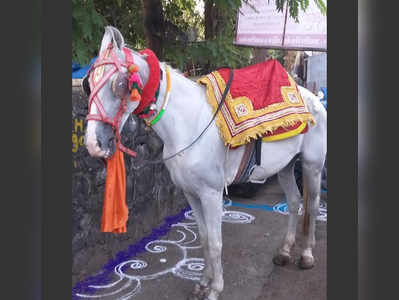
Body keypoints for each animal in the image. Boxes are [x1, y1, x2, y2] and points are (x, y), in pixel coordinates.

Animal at [86, 26, 326, 300]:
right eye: (88, 84)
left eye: (119, 84)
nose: (94, 143)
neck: (188, 123)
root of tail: (313, 97)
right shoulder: (191, 193)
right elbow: (202, 238)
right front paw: (202, 282)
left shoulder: (211, 193)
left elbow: (215, 241)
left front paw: (215, 289)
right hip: (285, 167)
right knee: (295, 202)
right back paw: (285, 251)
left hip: (312, 166)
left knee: (312, 206)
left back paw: (306, 254)